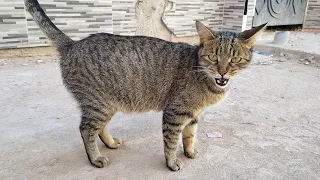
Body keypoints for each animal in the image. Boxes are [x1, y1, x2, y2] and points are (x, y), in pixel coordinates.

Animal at [25, 0, 266, 172]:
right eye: (214, 58)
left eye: (235, 60)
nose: (222, 72)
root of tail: (73, 44)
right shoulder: (175, 112)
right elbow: (171, 141)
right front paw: (172, 162)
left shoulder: (194, 114)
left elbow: (190, 136)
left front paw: (190, 152)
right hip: (98, 104)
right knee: (86, 130)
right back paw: (95, 158)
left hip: (107, 105)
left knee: (99, 128)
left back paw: (110, 143)